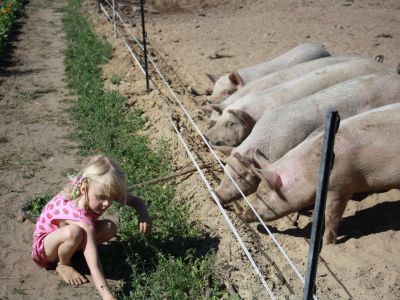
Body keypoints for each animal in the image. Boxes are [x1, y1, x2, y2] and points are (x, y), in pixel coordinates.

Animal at [241, 102, 400, 244]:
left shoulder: (341, 185)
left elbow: (331, 216)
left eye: (262, 195)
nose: (244, 215)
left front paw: (328, 244)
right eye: (257, 192)